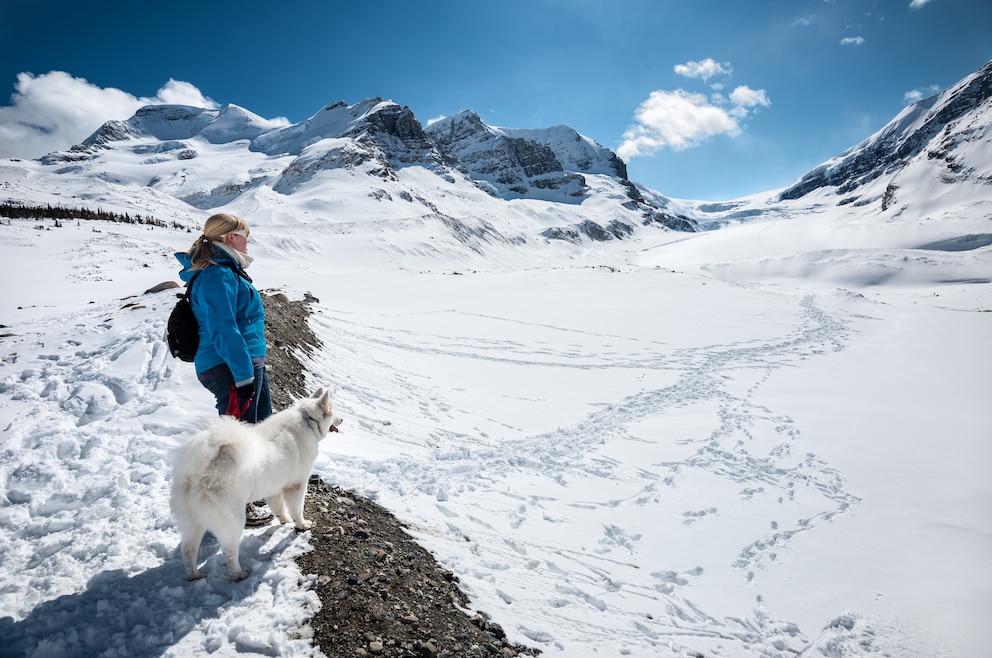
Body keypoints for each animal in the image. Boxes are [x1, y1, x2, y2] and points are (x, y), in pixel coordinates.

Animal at [169, 386, 342, 576]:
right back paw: (239, 573)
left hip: (193, 522)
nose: (342, 419)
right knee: (228, 550)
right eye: (335, 411)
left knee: (187, 550)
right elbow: (297, 510)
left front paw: (285, 521)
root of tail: (200, 470)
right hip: (232, 520)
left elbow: (279, 508)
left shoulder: (275, 489)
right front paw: (302, 525)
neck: (307, 419)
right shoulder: (297, 485)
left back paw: (195, 575)